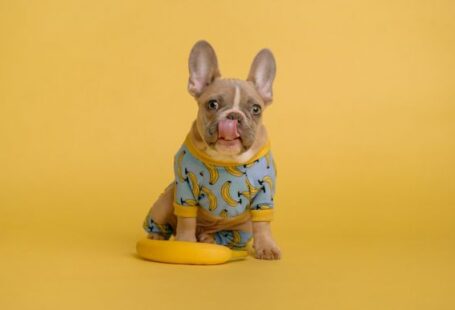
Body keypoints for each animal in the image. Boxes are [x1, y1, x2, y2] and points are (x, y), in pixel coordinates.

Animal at [143, 40, 282, 260]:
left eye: (256, 109)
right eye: (212, 104)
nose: (234, 116)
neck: (226, 159)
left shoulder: (264, 192)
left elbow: (263, 224)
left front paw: (266, 247)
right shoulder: (185, 187)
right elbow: (186, 220)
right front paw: (185, 243)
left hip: (244, 229)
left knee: (232, 236)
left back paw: (210, 239)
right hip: (164, 202)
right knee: (165, 224)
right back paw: (160, 236)